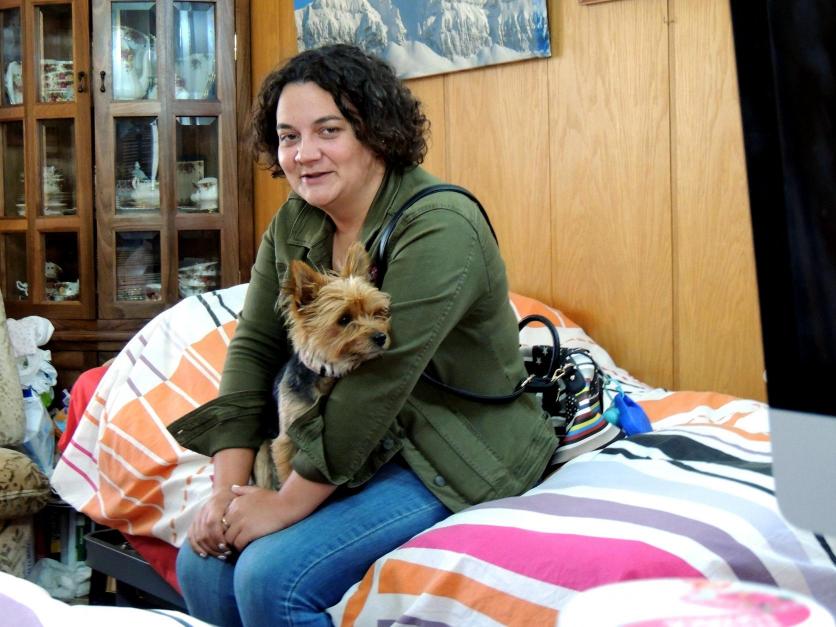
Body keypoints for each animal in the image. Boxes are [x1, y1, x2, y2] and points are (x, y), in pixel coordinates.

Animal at [253, 241, 391, 489]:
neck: (326, 373)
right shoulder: (286, 439)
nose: (381, 337)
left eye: (378, 313)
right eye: (344, 319)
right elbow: (287, 476)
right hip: (262, 455)